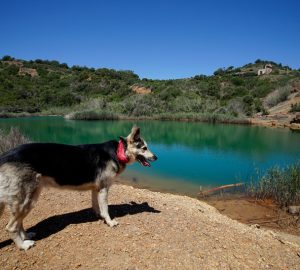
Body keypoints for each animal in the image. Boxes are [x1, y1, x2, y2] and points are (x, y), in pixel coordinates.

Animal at [0, 125, 158, 250]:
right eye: (144, 148)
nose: (156, 158)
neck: (119, 151)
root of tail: (4, 157)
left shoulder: (96, 189)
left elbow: (96, 206)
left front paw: (99, 216)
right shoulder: (103, 189)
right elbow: (105, 209)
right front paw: (109, 222)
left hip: (28, 198)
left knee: (18, 222)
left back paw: (27, 235)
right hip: (27, 199)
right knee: (11, 226)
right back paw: (23, 245)